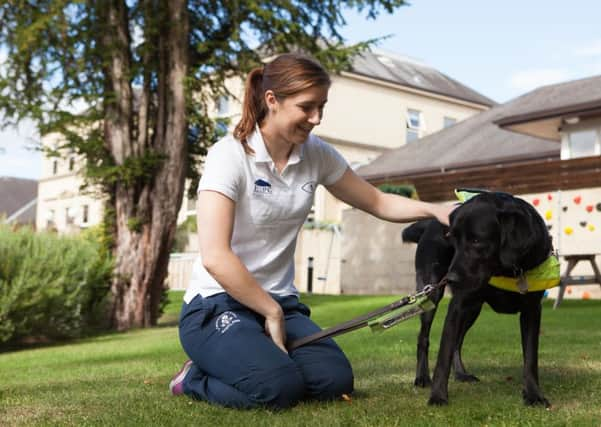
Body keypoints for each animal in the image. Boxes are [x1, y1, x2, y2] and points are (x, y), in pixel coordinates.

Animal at [404, 193, 552, 408]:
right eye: (451, 239)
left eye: (476, 240)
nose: (450, 279)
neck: (505, 270)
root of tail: (430, 222)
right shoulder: (457, 305)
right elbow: (443, 355)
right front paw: (438, 396)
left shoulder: (532, 310)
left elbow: (531, 358)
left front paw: (533, 395)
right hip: (431, 293)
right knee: (424, 337)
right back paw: (422, 377)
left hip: (473, 309)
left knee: (458, 342)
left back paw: (461, 374)